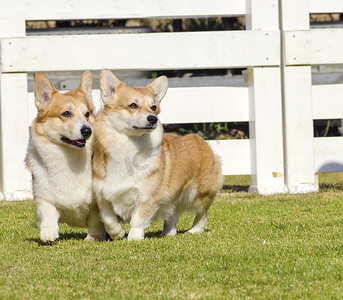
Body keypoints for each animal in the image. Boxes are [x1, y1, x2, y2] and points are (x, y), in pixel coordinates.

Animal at [25, 71, 105, 243]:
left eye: (87, 114)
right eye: (66, 113)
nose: (87, 130)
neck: (69, 156)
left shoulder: (97, 203)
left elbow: (95, 219)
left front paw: (94, 237)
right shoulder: (42, 195)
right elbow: (47, 211)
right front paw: (48, 232)